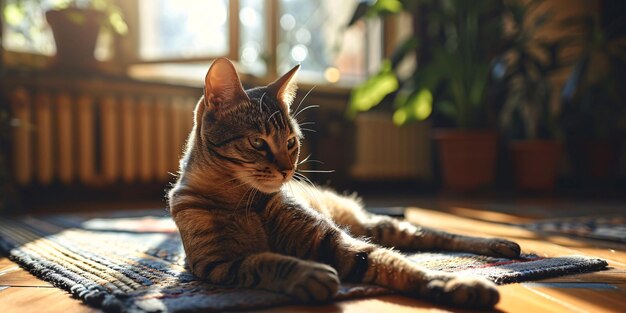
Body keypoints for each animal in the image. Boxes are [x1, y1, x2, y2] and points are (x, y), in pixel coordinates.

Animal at [168, 58, 520, 308]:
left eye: (291, 142)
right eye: (258, 142)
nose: (287, 170)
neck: (241, 200)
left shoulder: (330, 239)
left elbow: (395, 263)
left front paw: (451, 283)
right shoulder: (215, 264)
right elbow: (263, 260)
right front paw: (306, 272)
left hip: (377, 226)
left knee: (434, 235)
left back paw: (498, 243)